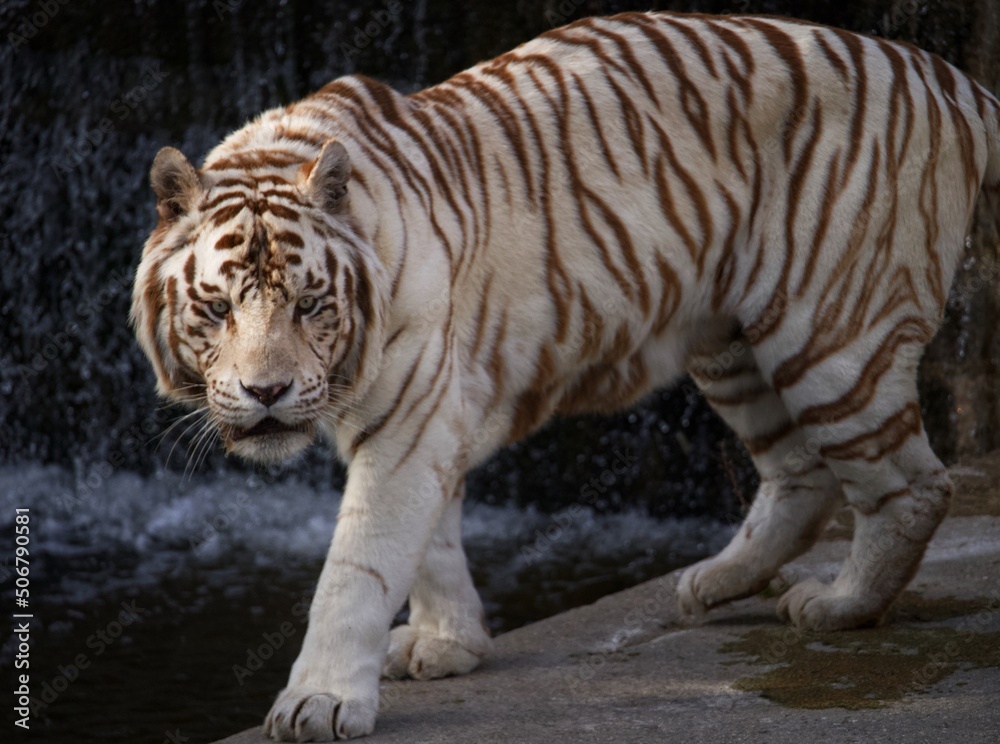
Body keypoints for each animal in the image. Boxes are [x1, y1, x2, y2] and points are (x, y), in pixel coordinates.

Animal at [130, 9, 1000, 741]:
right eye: (215, 309)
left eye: (311, 305)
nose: (267, 393)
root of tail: (942, 74)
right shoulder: (428, 410)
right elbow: (432, 537)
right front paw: (449, 642)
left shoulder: (410, 414)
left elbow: (360, 563)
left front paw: (320, 700)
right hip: (731, 341)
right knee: (801, 474)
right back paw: (716, 582)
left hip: (832, 332)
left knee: (912, 484)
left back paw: (839, 605)